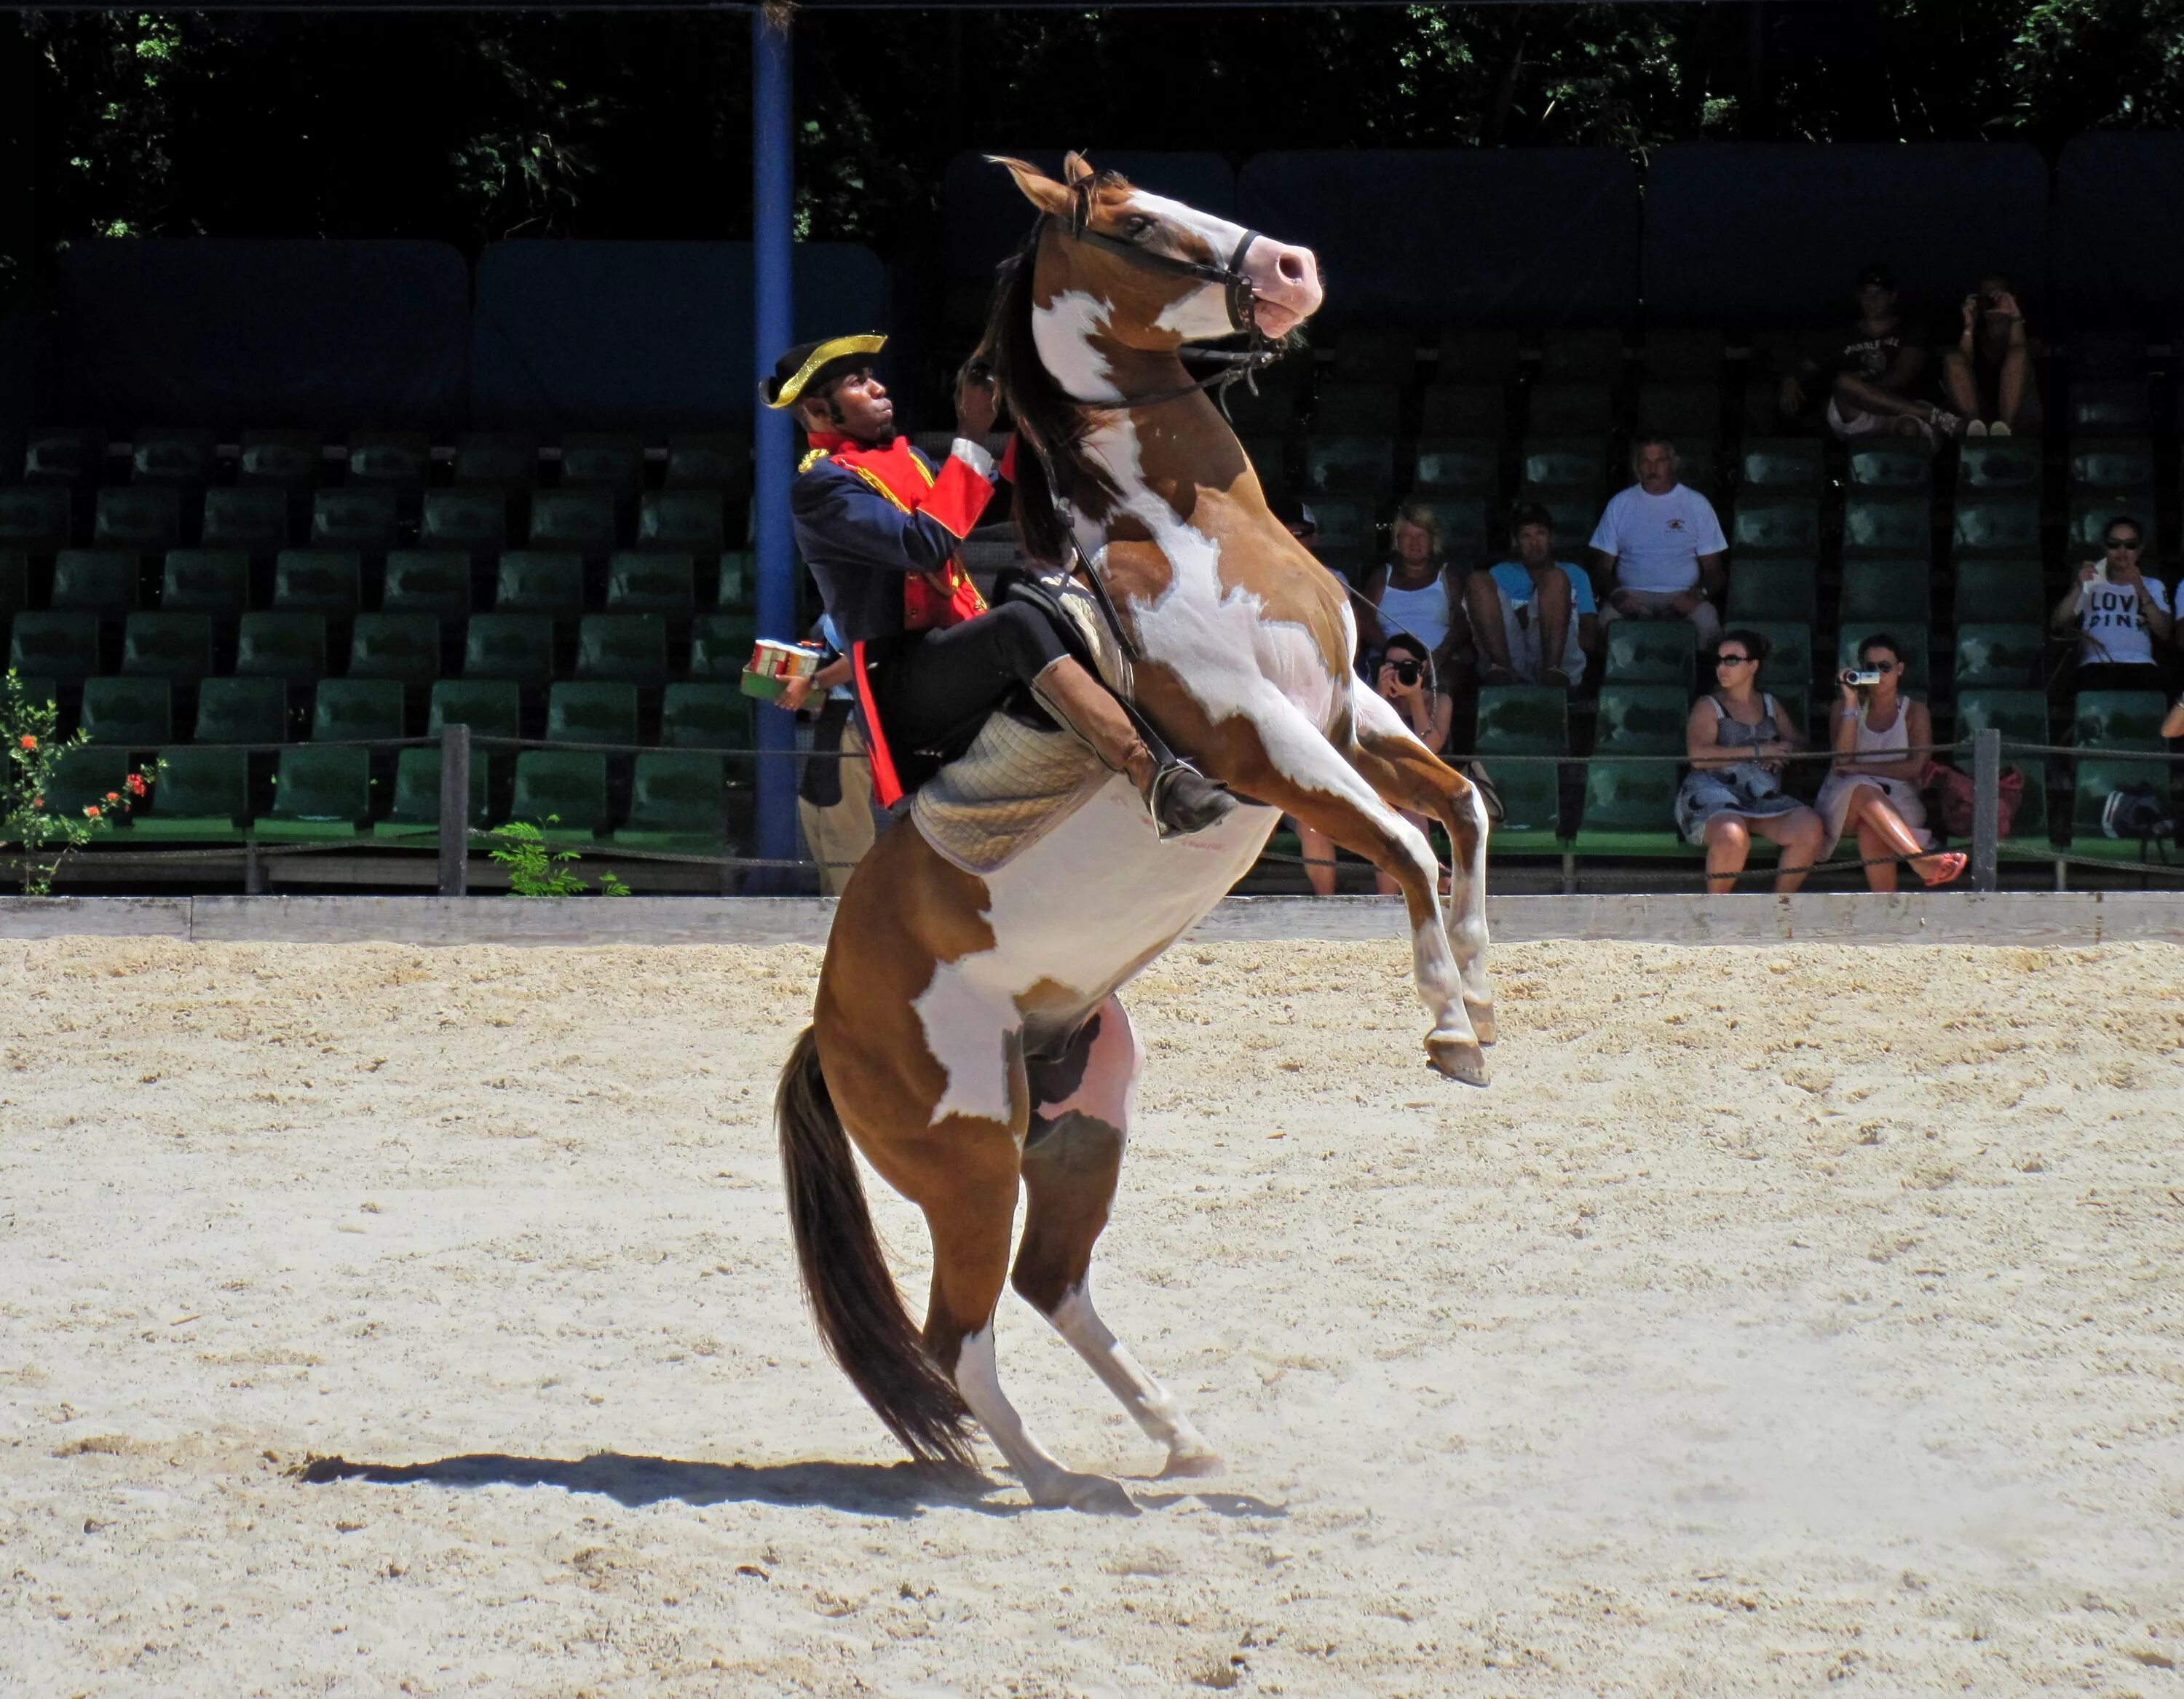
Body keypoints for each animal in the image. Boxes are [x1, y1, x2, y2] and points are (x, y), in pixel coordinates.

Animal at [778, 155, 1494, 1511]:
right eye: (1131, 218)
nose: (1294, 269)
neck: (1188, 531)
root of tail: (825, 1027)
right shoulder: (1262, 742)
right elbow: (1403, 844)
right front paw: (1449, 1028)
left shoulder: (1347, 707)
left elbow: (1461, 806)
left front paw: (1479, 983)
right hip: (969, 1159)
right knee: (959, 1332)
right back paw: (1060, 1479)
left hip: (1080, 1121)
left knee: (1047, 1284)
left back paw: (1178, 1437)